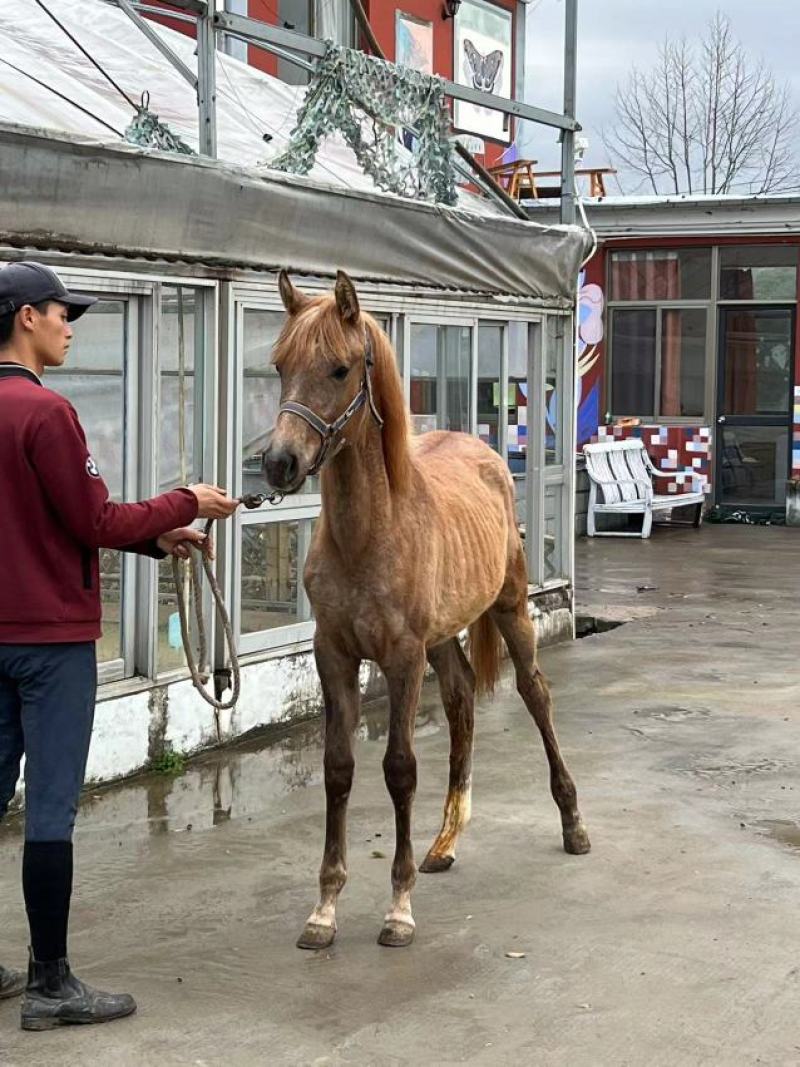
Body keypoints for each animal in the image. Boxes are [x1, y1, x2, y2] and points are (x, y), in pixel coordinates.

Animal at [263, 270, 590, 950]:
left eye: (339, 369)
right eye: (279, 365)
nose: (279, 463)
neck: (368, 534)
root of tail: (486, 453)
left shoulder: (403, 658)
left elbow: (399, 768)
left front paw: (398, 907)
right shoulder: (333, 655)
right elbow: (338, 767)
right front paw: (324, 909)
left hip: (511, 611)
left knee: (535, 693)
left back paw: (573, 824)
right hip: (444, 637)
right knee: (463, 699)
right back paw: (444, 842)